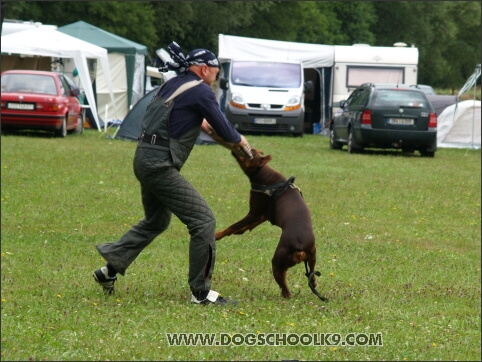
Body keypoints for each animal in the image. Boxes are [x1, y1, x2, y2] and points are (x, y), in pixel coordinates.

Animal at [217, 148, 328, 302]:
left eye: (250, 153)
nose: (237, 147)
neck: (264, 174)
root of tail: (300, 247)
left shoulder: (254, 212)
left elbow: (232, 226)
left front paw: (217, 235)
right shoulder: (264, 214)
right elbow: (248, 225)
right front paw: (241, 230)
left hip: (278, 261)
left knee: (285, 289)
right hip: (312, 257)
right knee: (311, 277)